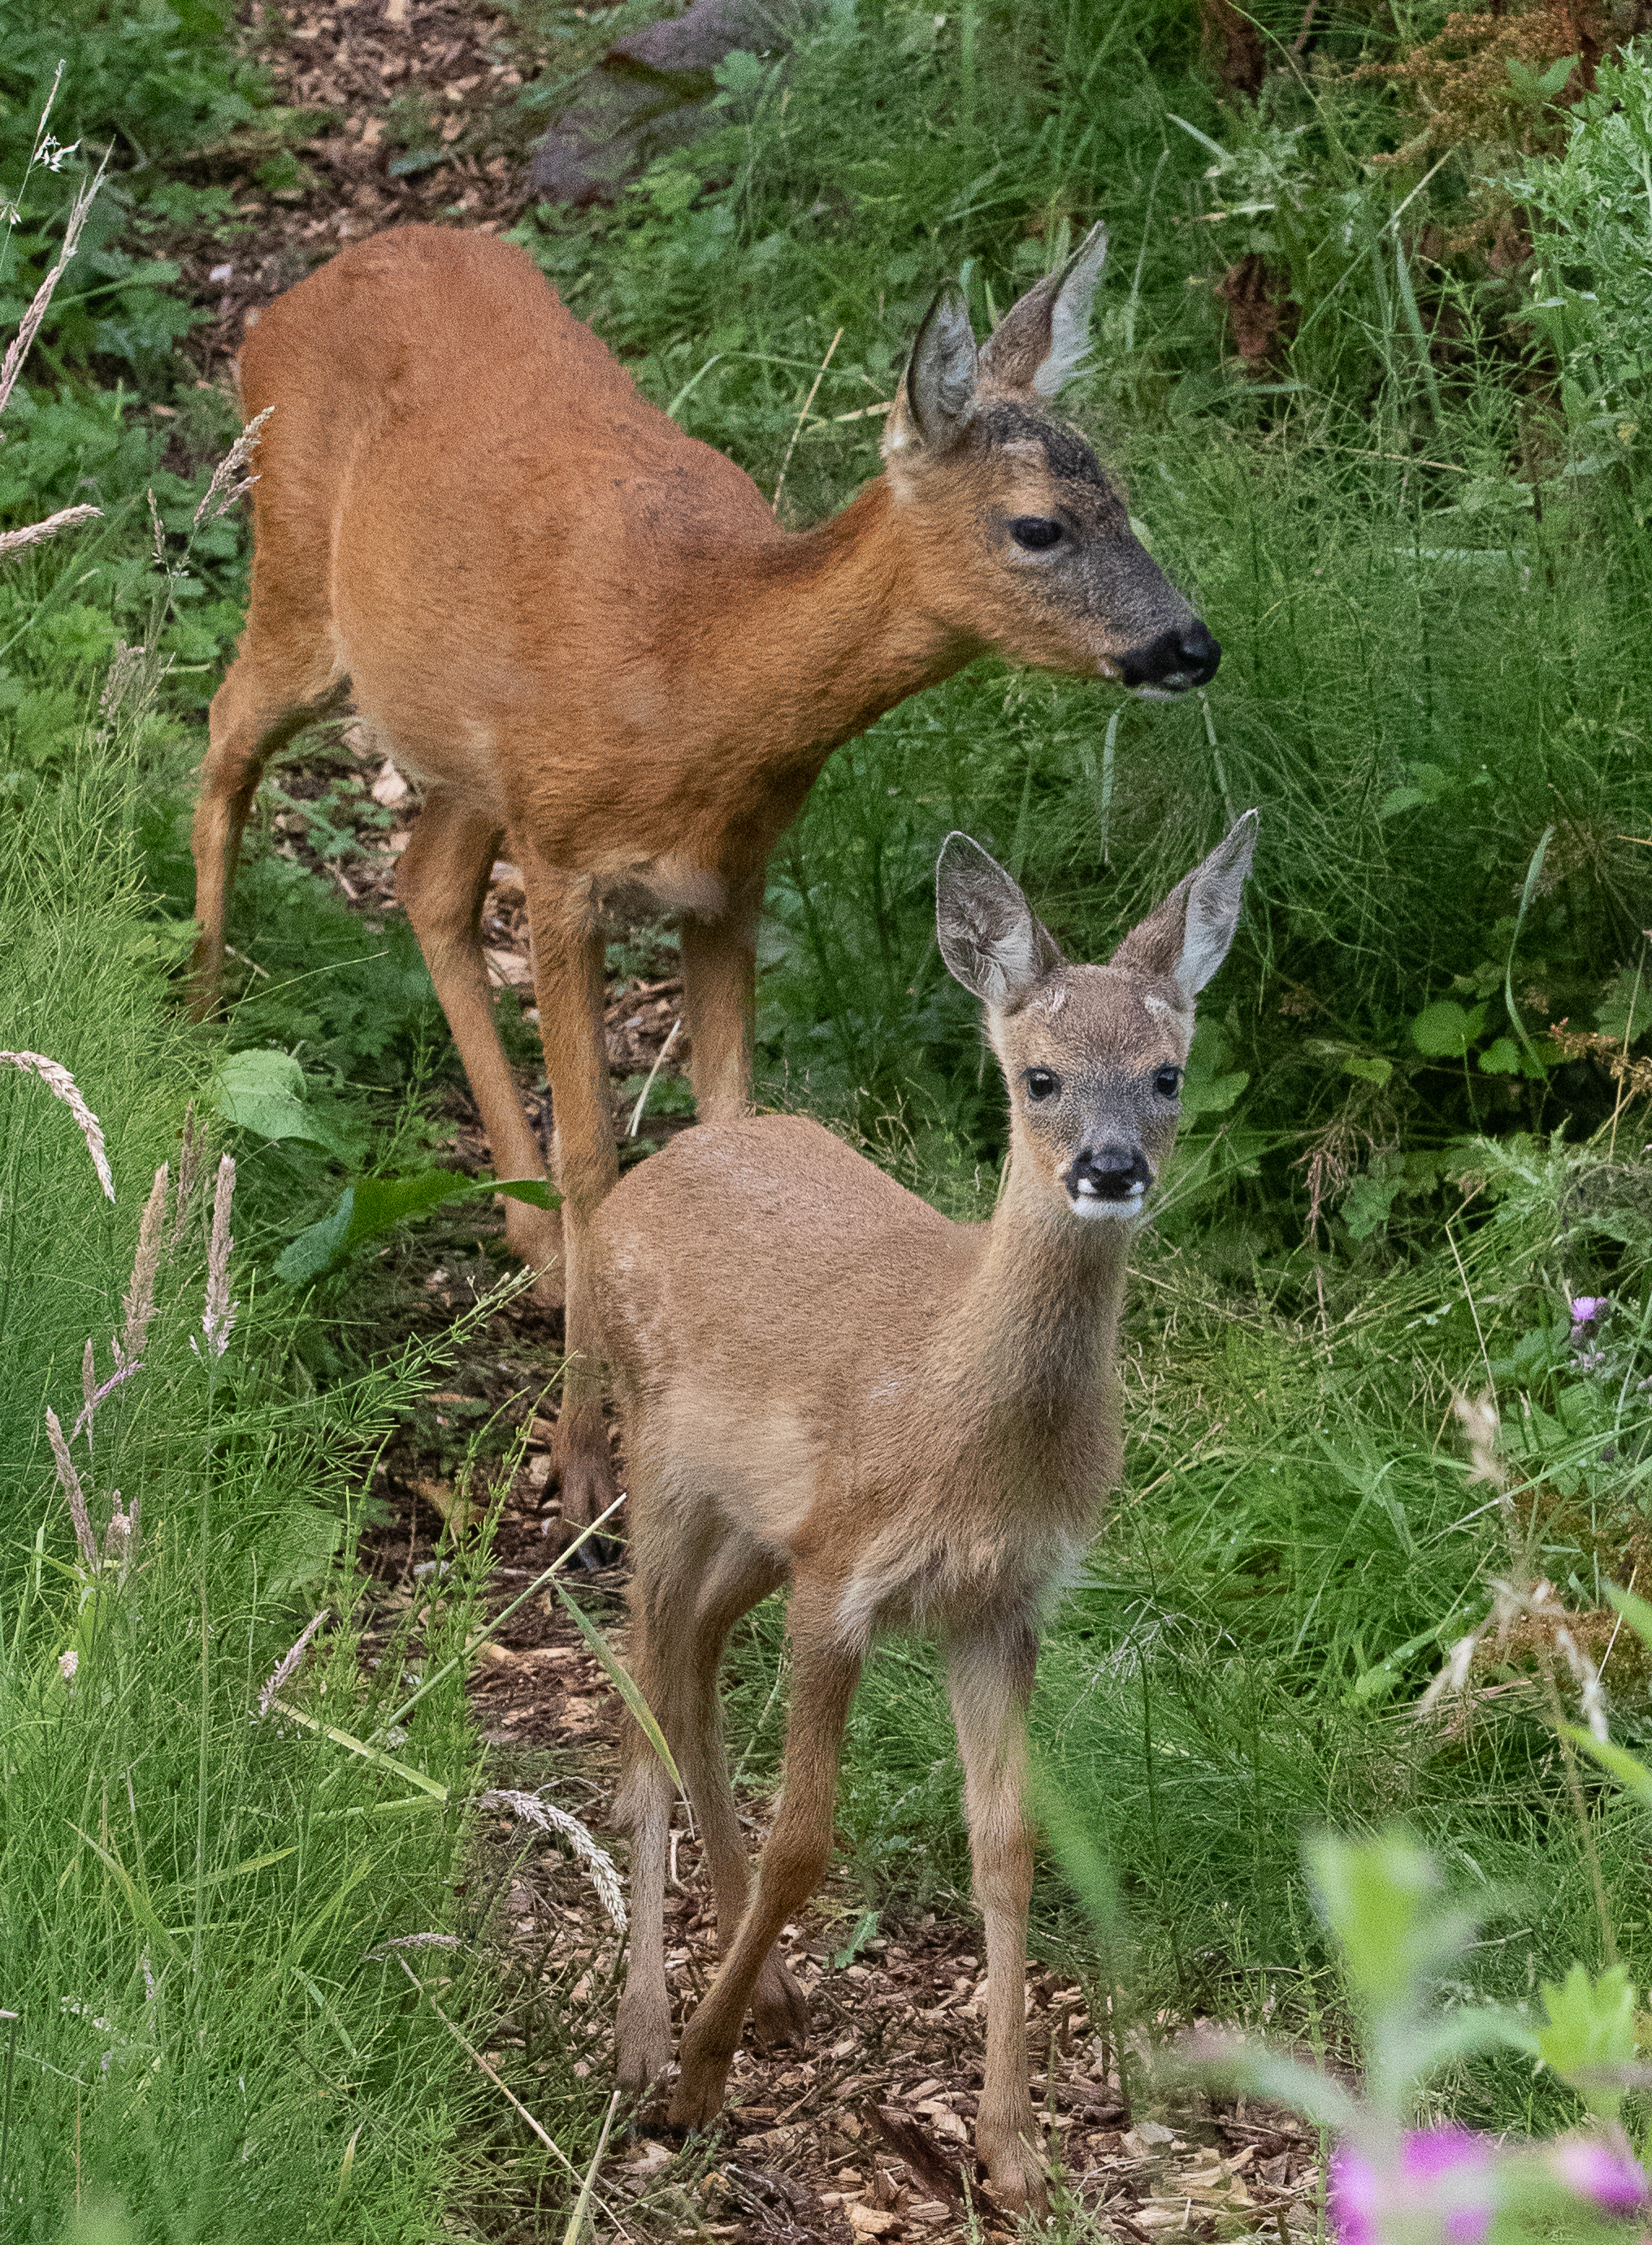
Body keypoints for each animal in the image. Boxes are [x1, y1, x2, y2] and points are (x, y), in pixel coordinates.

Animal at [188, 221, 1221, 1544]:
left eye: (1123, 500)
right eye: (1038, 526)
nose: (1190, 644)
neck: (691, 672)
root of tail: (300, 295)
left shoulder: (730, 882)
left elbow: (732, 1124)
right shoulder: (564, 864)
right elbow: (593, 1150)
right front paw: (582, 1461)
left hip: (467, 753)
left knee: (423, 882)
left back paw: (533, 1239)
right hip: (298, 576)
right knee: (223, 738)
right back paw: (200, 1018)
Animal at [595, 810, 1258, 2211]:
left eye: (1168, 1073)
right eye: (1040, 1076)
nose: (1109, 1167)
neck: (965, 1423)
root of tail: (662, 1161)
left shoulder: (998, 1599)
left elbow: (1006, 1842)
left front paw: (1011, 2146)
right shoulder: (842, 1574)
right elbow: (806, 1836)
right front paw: (696, 2075)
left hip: (756, 1528)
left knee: (693, 1663)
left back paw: (770, 1990)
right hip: (655, 1459)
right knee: (641, 1702)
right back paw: (641, 2037)